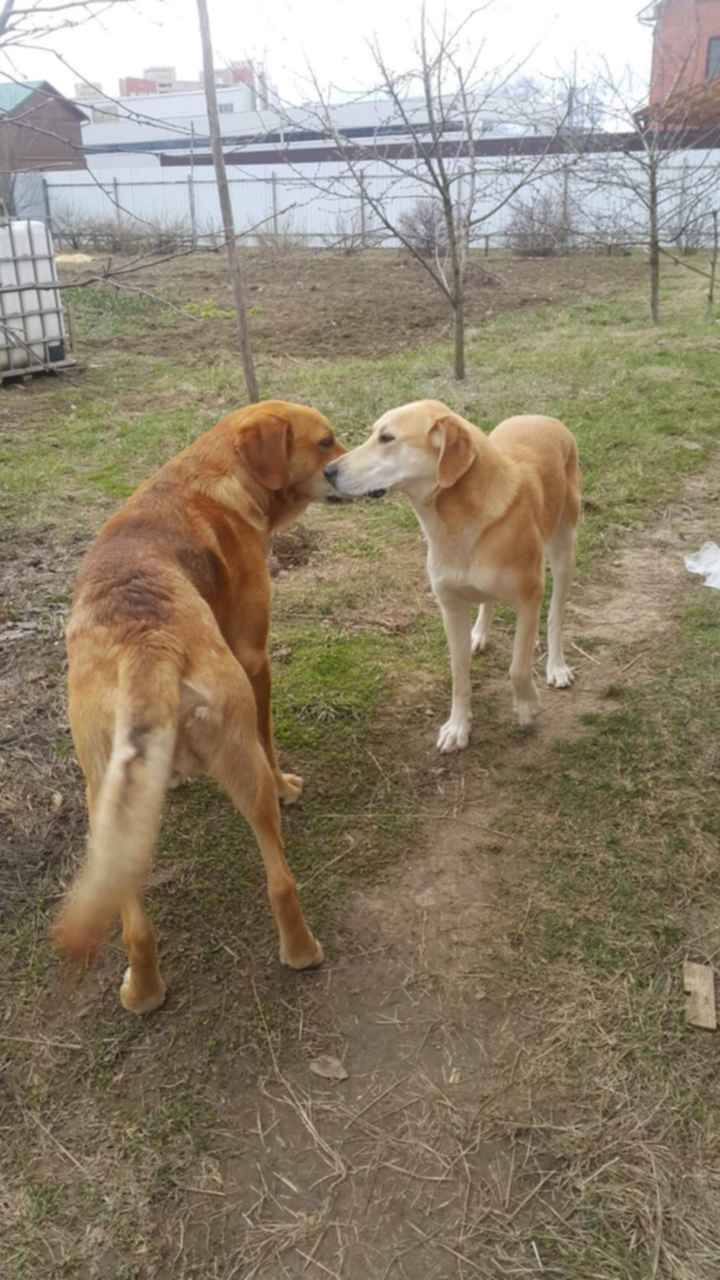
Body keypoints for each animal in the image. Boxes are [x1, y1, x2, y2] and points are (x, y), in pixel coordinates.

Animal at [55, 396, 345, 1008]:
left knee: (134, 922)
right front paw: (287, 784)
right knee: (280, 880)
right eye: (325, 442)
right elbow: (269, 736)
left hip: (104, 802)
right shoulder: (254, 657)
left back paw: (142, 990)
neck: (212, 475)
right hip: (243, 765)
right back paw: (301, 951)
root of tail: (148, 645)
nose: (344, 471)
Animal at [324, 401, 576, 747]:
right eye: (373, 433)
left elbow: (518, 667)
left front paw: (526, 706)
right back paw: (479, 633)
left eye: (387, 438)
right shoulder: (450, 606)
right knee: (488, 602)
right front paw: (457, 727)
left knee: (555, 615)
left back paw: (556, 665)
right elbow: (459, 673)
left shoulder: (529, 595)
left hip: (563, 549)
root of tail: (542, 417)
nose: (327, 471)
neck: (456, 520)